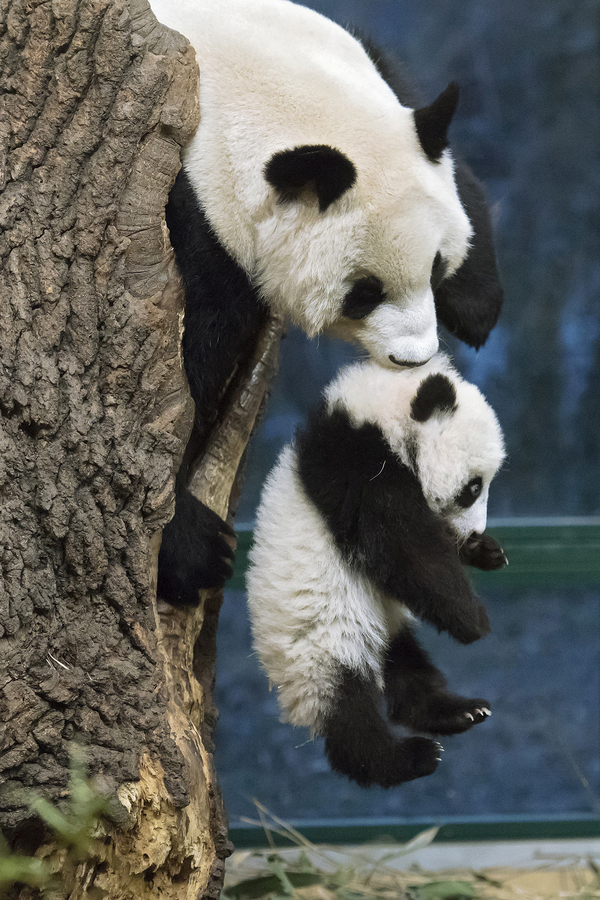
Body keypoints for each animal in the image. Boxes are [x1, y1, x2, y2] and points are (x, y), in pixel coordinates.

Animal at [149, 0, 502, 608]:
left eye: (435, 267)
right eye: (365, 293)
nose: (414, 358)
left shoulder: (370, 60)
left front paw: (480, 301)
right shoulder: (197, 207)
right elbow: (177, 366)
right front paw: (189, 548)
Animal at [246, 354, 504, 788]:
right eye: (472, 488)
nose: (475, 533)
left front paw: (486, 552)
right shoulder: (358, 465)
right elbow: (404, 547)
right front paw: (474, 620)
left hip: (382, 619)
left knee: (406, 662)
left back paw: (455, 710)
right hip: (320, 643)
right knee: (348, 712)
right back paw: (405, 757)